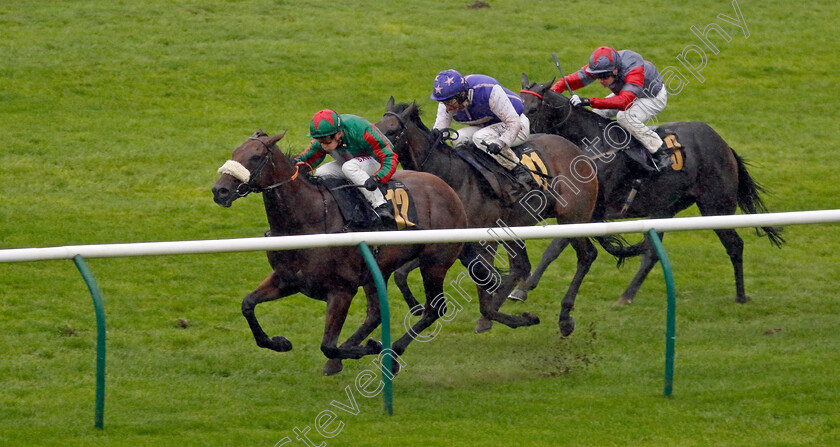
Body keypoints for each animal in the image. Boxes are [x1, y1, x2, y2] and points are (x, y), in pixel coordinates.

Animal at [213, 131, 470, 376]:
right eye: (236, 152)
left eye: (255, 157)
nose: (219, 190)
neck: (309, 218)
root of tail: (448, 189)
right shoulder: (287, 279)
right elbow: (248, 304)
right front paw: (279, 342)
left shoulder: (341, 290)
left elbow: (327, 345)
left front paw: (371, 347)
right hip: (379, 269)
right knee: (376, 313)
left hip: (434, 262)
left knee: (434, 310)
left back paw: (393, 353)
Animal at [378, 98, 600, 336]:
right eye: (375, 126)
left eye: (392, 131)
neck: (452, 177)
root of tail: (578, 151)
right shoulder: (444, 242)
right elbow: (401, 274)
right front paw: (417, 307)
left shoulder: (482, 241)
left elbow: (483, 283)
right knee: (521, 267)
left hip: (572, 217)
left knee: (587, 255)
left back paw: (565, 317)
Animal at [516, 78, 784, 308]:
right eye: (518, 105)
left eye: (533, 109)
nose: (520, 142)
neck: (589, 145)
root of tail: (724, 145)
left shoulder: (586, 212)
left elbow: (556, 245)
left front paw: (523, 287)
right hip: (664, 209)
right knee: (653, 254)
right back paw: (626, 296)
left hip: (716, 207)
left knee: (735, 244)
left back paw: (740, 296)